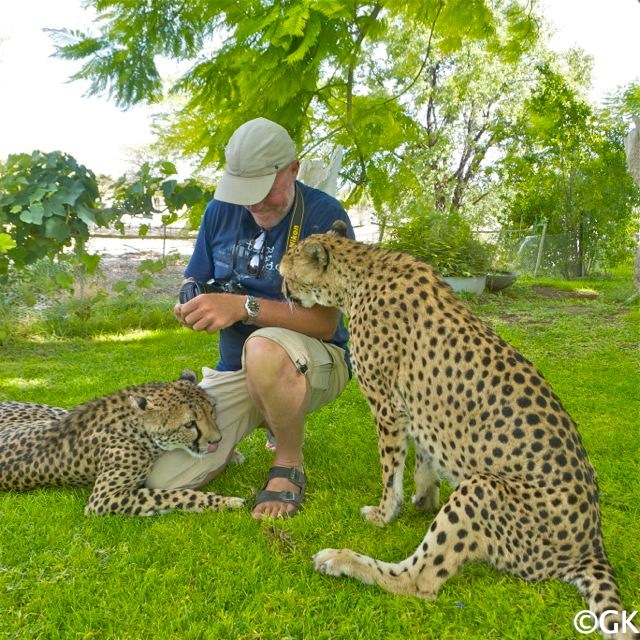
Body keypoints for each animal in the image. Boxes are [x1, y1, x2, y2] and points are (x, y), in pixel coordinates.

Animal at [0, 372, 245, 516]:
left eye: (212, 410)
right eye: (189, 424)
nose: (217, 440)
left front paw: (231, 455)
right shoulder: (103, 499)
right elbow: (173, 495)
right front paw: (225, 501)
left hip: (53, 413)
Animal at [280, 221, 636, 640]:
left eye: (286, 273)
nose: (282, 289)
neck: (360, 273)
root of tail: (592, 544)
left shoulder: (387, 406)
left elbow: (390, 471)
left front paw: (385, 512)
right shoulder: (416, 407)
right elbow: (424, 455)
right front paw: (424, 497)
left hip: (482, 488)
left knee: (418, 581)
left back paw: (340, 559)